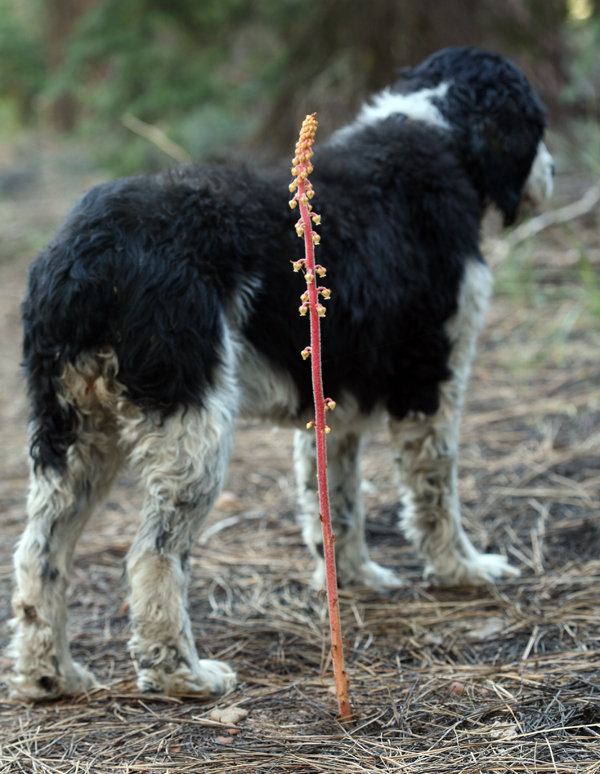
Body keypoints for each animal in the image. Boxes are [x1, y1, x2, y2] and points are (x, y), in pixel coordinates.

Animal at [9, 48, 552, 704]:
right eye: (538, 128)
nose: (552, 172)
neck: (434, 133)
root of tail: (81, 258)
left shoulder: (336, 401)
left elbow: (336, 505)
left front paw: (355, 578)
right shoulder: (431, 380)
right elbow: (435, 490)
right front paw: (463, 569)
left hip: (73, 433)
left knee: (39, 555)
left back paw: (51, 675)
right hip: (190, 434)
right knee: (150, 556)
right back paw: (182, 674)